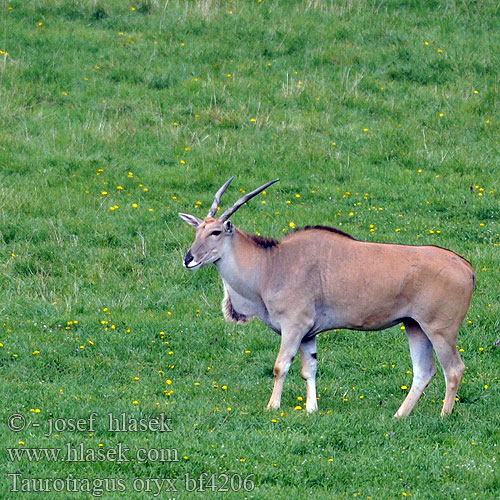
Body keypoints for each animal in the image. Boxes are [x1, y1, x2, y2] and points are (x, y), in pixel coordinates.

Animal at [180, 178, 476, 416]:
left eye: (216, 232)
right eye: (197, 231)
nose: (188, 259)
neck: (272, 264)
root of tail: (466, 266)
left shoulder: (294, 326)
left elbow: (280, 366)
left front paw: (272, 407)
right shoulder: (308, 334)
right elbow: (308, 369)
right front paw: (312, 409)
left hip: (440, 330)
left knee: (454, 369)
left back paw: (444, 416)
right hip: (414, 326)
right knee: (424, 371)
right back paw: (399, 416)